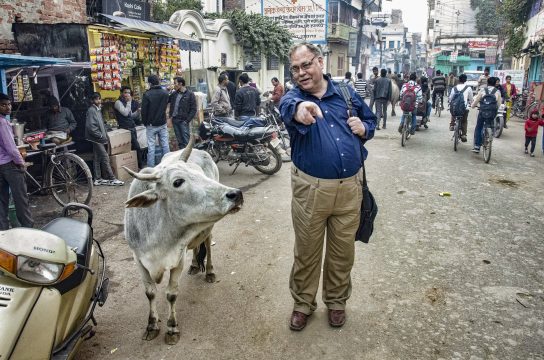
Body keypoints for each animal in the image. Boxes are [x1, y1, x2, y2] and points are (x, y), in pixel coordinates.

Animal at [124, 136, 243, 344]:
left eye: (198, 173)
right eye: (178, 182)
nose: (236, 194)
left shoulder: (177, 259)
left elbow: (171, 294)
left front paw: (172, 328)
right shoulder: (138, 259)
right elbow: (150, 293)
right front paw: (152, 325)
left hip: (208, 227)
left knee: (208, 246)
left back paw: (209, 271)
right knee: (196, 247)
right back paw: (195, 264)